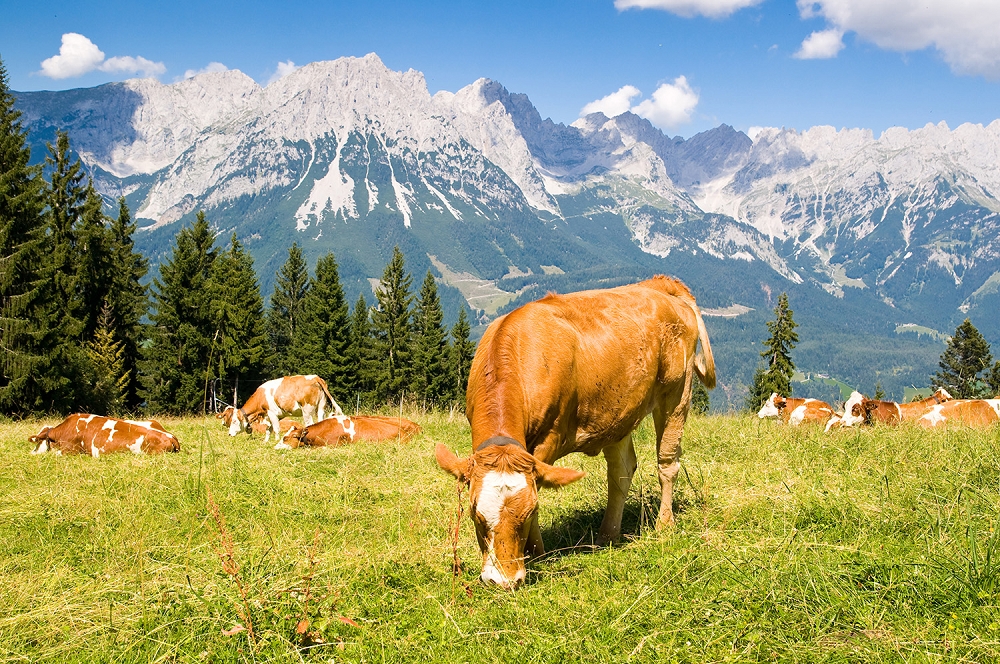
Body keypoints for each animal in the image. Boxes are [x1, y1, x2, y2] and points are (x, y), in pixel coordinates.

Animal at [434, 276, 715, 588]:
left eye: (529, 512)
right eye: (475, 513)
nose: (503, 581)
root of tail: (659, 284)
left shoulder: (549, 439)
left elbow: (540, 486)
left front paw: (536, 552)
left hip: (676, 392)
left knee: (667, 463)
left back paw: (664, 524)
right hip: (620, 411)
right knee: (622, 470)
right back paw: (607, 534)